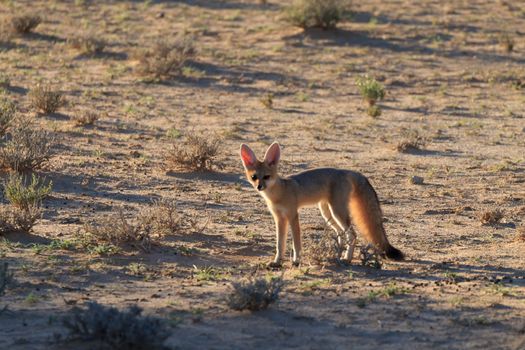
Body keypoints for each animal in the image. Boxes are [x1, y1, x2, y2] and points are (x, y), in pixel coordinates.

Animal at [239, 142, 404, 268]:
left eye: (267, 177)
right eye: (254, 177)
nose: (259, 186)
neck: (279, 193)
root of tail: (348, 171)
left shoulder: (293, 216)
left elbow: (296, 243)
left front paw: (296, 261)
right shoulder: (279, 219)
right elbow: (280, 244)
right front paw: (277, 262)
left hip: (337, 212)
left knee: (352, 234)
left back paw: (347, 258)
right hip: (327, 213)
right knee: (341, 234)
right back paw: (337, 256)